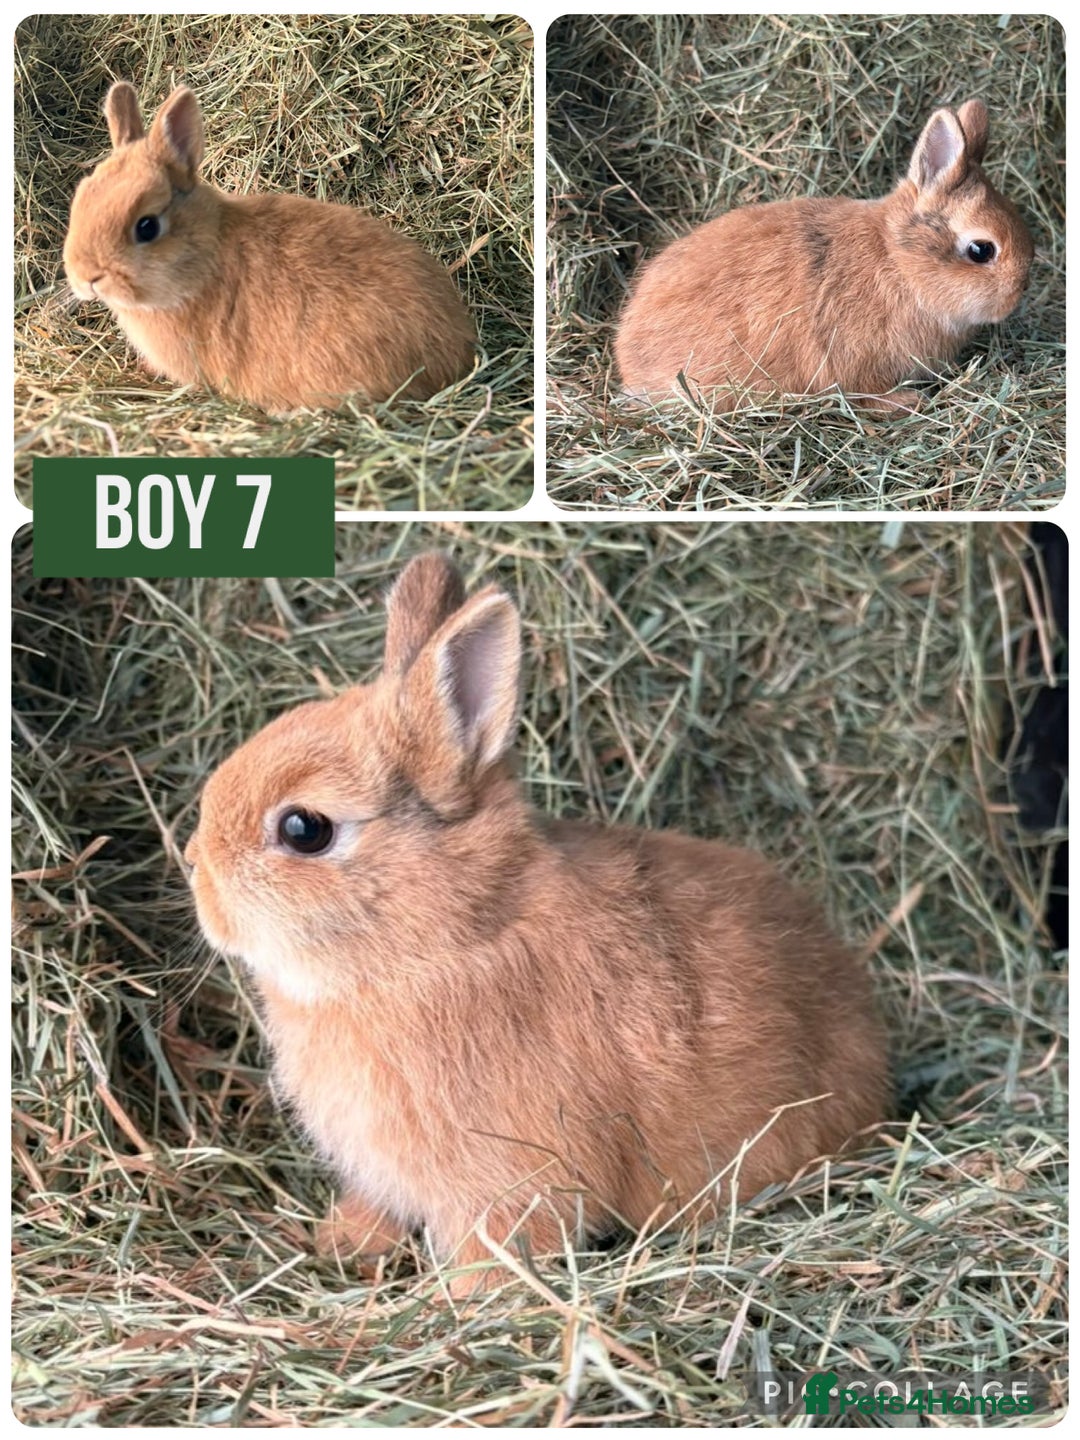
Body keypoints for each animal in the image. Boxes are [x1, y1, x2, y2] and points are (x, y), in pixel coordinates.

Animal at [185, 554, 890, 1296]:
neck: (454, 937)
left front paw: (464, 1303)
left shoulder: (510, 1181)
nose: (194, 867)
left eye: (304, 829)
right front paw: (343, 1241)